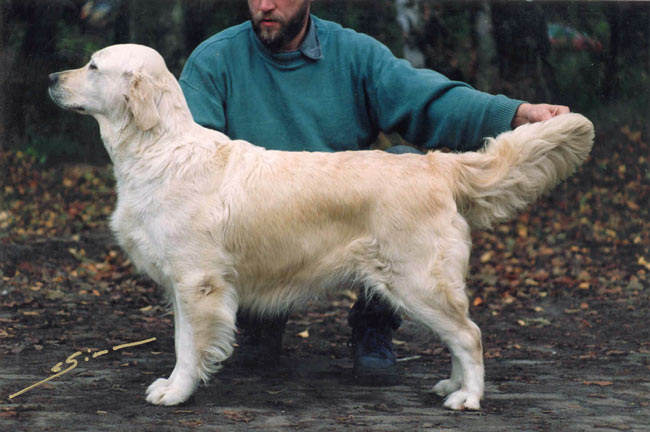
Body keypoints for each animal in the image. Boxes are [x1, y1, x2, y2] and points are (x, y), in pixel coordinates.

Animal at [46, 44, 592, 412]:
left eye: (93, 66)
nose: (51, 76)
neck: (158, 148)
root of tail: (436, 165)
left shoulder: (196, 280)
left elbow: (187, 344)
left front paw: (177, 392)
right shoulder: (184, 284)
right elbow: (185, 337)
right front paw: (180, 384)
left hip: (415, 280)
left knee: (470, 334)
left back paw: (468, 397)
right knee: (460, 334)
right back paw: (452, 385)